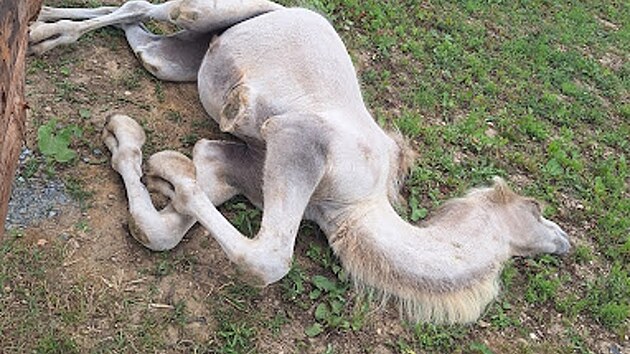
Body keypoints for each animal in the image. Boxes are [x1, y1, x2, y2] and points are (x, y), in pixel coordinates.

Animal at [30, 0, 572, 324]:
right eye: (537, 209)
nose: (565, 243)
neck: (352, 205)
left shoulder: (245, 167)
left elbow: (161, 228)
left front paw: (145, 154)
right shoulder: (298, 140)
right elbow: (268, 259)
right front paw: (166, 167)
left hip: (181, 61)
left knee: (146, 44)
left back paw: (49, 29)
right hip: (221, 12)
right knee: (155, 6)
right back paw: (40, 31)